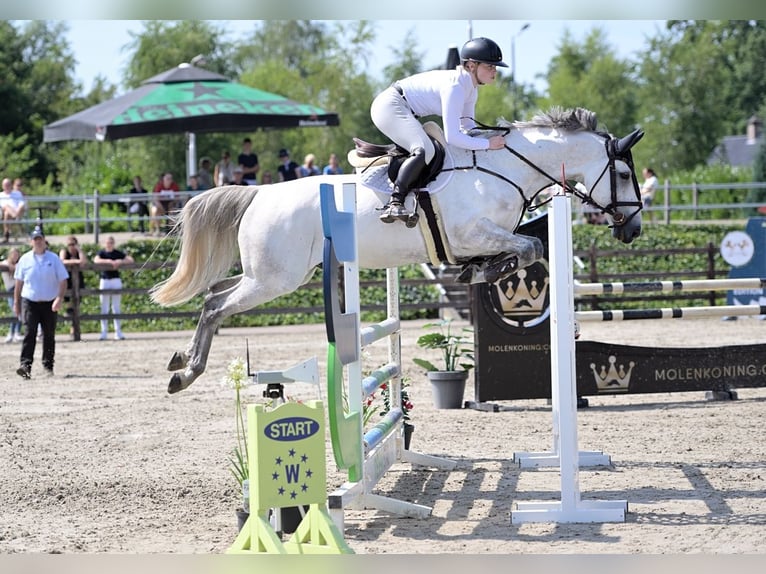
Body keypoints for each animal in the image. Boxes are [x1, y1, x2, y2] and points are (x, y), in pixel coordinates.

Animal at [151, 107, 644, 394]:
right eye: (622, 174)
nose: (634, 229)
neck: (503, 167)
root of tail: (259, 195)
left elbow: (526, 249)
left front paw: (481, 271)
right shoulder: (472, 233)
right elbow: (530, 246)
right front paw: (483, 272)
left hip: (269, 274)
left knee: (214, 293)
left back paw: (180, 360)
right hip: (275, 279)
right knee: (217, 306)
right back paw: (186, 373)